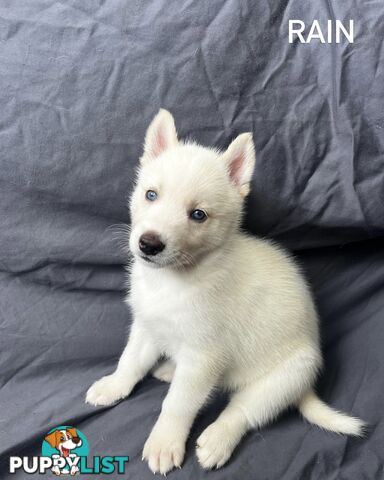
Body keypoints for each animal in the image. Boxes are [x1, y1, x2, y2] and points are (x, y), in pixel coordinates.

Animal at [85, 108, 364, 472]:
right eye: (151, 195)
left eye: (198, 215)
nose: (149, 244)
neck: (173, 280)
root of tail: (305, 388)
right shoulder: (147, 326)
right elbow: (130, 360)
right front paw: (114, 386)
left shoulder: (205, 356)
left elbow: (178, 404)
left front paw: (164, 442)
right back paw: (169, 369)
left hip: (284, 377)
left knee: (244, 410)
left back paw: (218, 439)